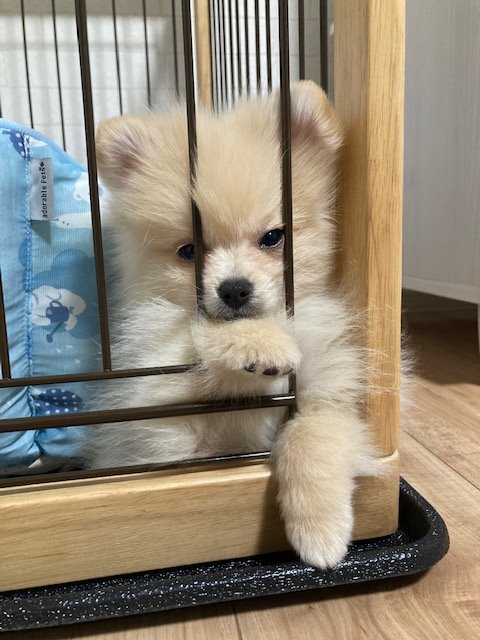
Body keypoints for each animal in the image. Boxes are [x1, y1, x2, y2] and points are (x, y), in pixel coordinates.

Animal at [86, 81, 377, 569]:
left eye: (273, 237)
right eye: (188, 251)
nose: (234, 289)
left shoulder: (327, 392)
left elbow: (312, 435)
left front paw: (321, 534)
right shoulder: (167, 425)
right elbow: (199, 337)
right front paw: (256, 345)